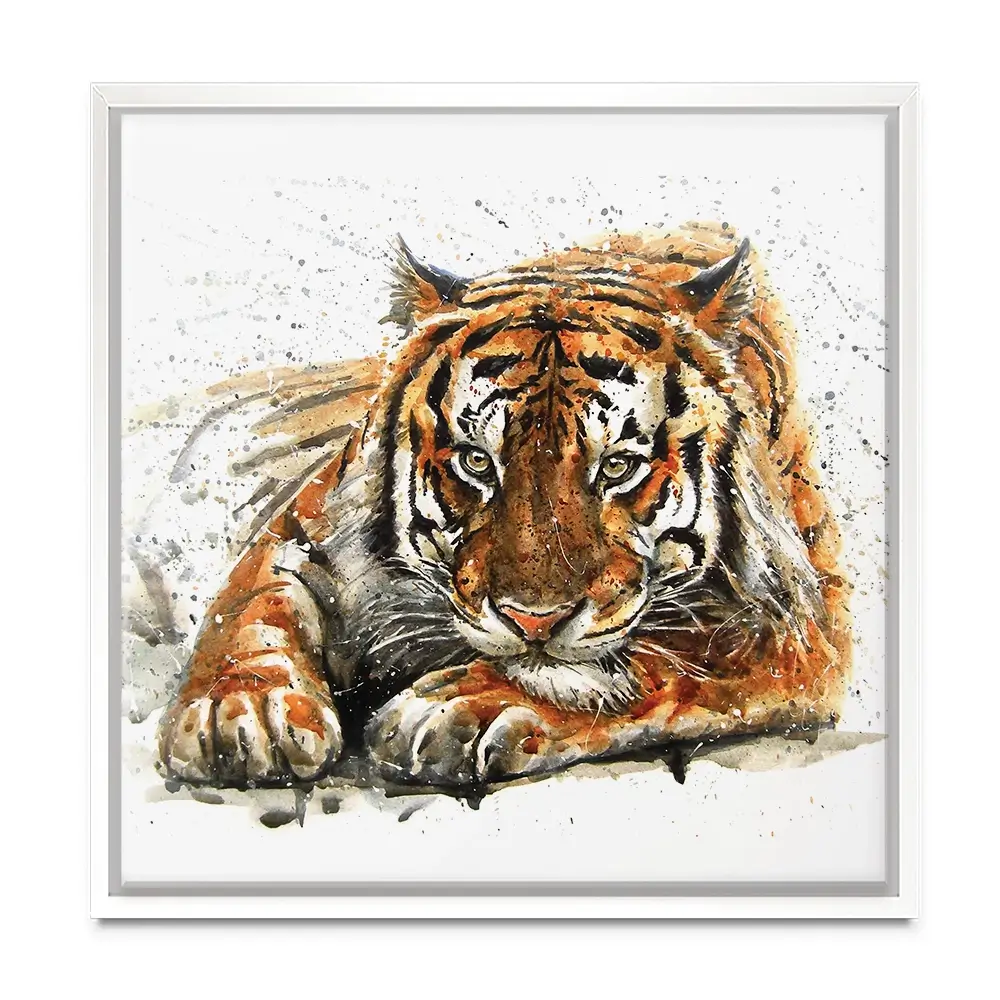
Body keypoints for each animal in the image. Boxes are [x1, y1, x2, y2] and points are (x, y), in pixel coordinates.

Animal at [156, 221, 851, 790]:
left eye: (618, 467)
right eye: (476, 462)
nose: (534, 623)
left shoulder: (796, 624)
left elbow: (662, 657)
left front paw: (464, 707)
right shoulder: (307, 523)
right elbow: (252, 604)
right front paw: (241, 709)